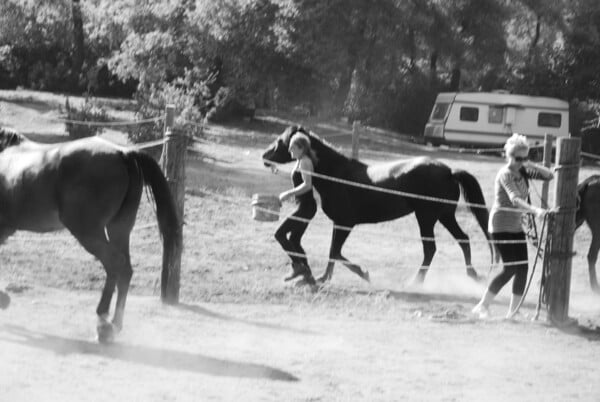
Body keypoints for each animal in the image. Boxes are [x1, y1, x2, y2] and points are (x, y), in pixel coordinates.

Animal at [0, 128, 180, 342]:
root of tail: (124, 153)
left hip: (88, 231)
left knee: (114, 263)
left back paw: (102, 322)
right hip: (118, 229)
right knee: (125, 269)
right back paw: (115, 325)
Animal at [262, 127, 492, 284]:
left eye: (281, 141)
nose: (265, 156)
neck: (338, 175)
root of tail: (449, 172)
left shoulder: (345, 223)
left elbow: (335, 251)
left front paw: (359, 274)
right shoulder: (339, 223)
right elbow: (333, 251)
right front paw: (325, 277)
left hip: (426, 218)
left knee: (430, 249)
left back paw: (416, 281)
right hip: (444, 216)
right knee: (463, 239)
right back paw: (472, 274)